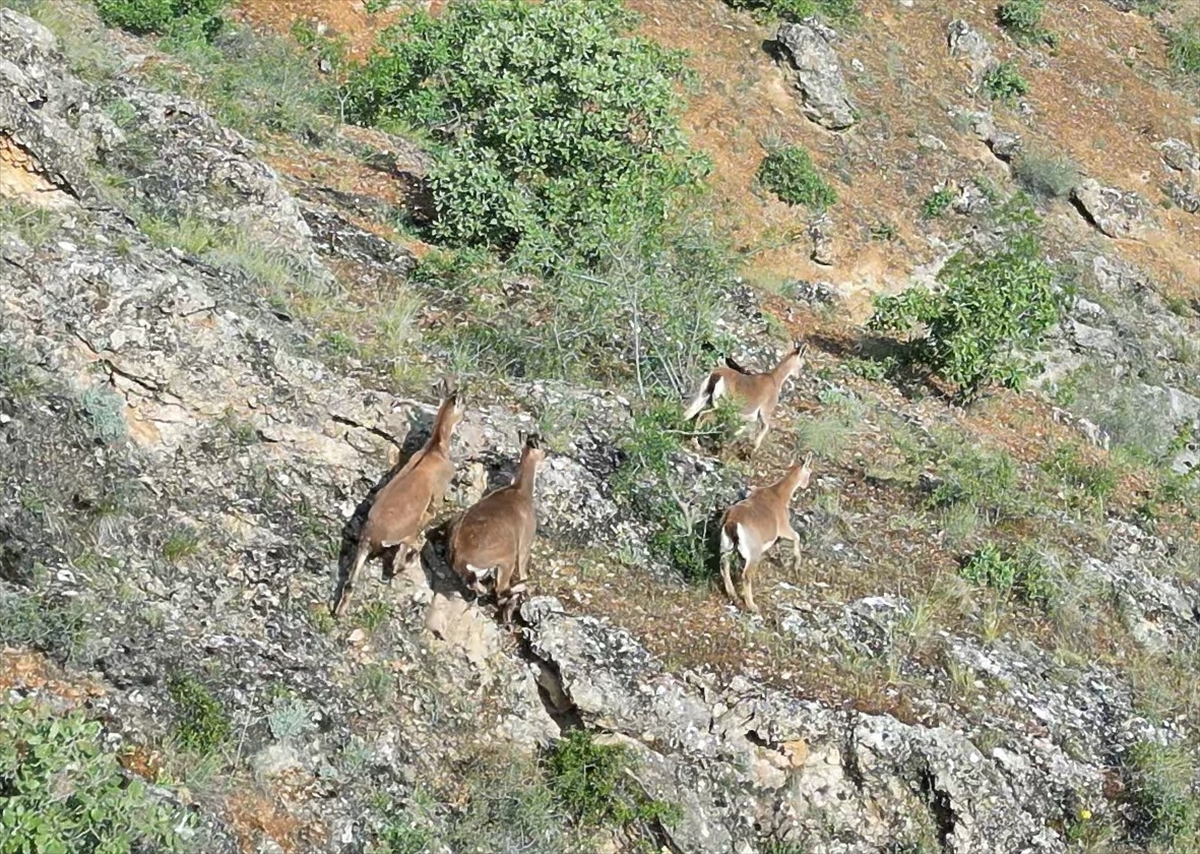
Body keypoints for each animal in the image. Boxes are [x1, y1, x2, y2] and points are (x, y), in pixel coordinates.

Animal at [331, 383, 465, 618]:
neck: (435, 449)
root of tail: (371, 535)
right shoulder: (435, 500)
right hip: (407, 535)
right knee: (396, 563)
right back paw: (413, 557)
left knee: (349, 583)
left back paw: (339, 610)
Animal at [448, 434, 547, 618]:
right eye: (543, 447)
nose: (546, 454)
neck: (520, 491)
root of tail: (460, 556)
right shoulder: (525, 543)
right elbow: (522, 567)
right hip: (507, 558)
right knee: (501, 588)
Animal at [720, 453, 816, 614]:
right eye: (809, 472)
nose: (806, 484)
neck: (779, 494)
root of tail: (732, 522)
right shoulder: (783, 527)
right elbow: (796, 536)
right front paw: (795, 566)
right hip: (753, 552)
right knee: (746, 575)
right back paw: (752, 606)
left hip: (725, 546)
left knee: (724, 565)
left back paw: (733, 596)